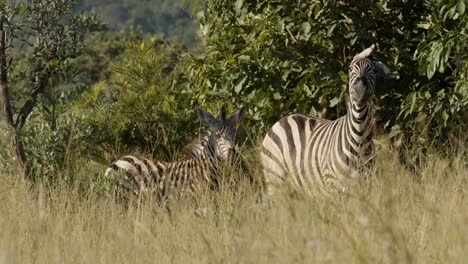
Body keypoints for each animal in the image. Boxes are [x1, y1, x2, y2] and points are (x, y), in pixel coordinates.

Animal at [262, 43, 394, 196]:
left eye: (373, 69)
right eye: (350, 69)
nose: (359, 90)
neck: (359, 138)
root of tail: (283, 119)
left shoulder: (368, 186)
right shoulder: (334, 186)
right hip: (275, 180)